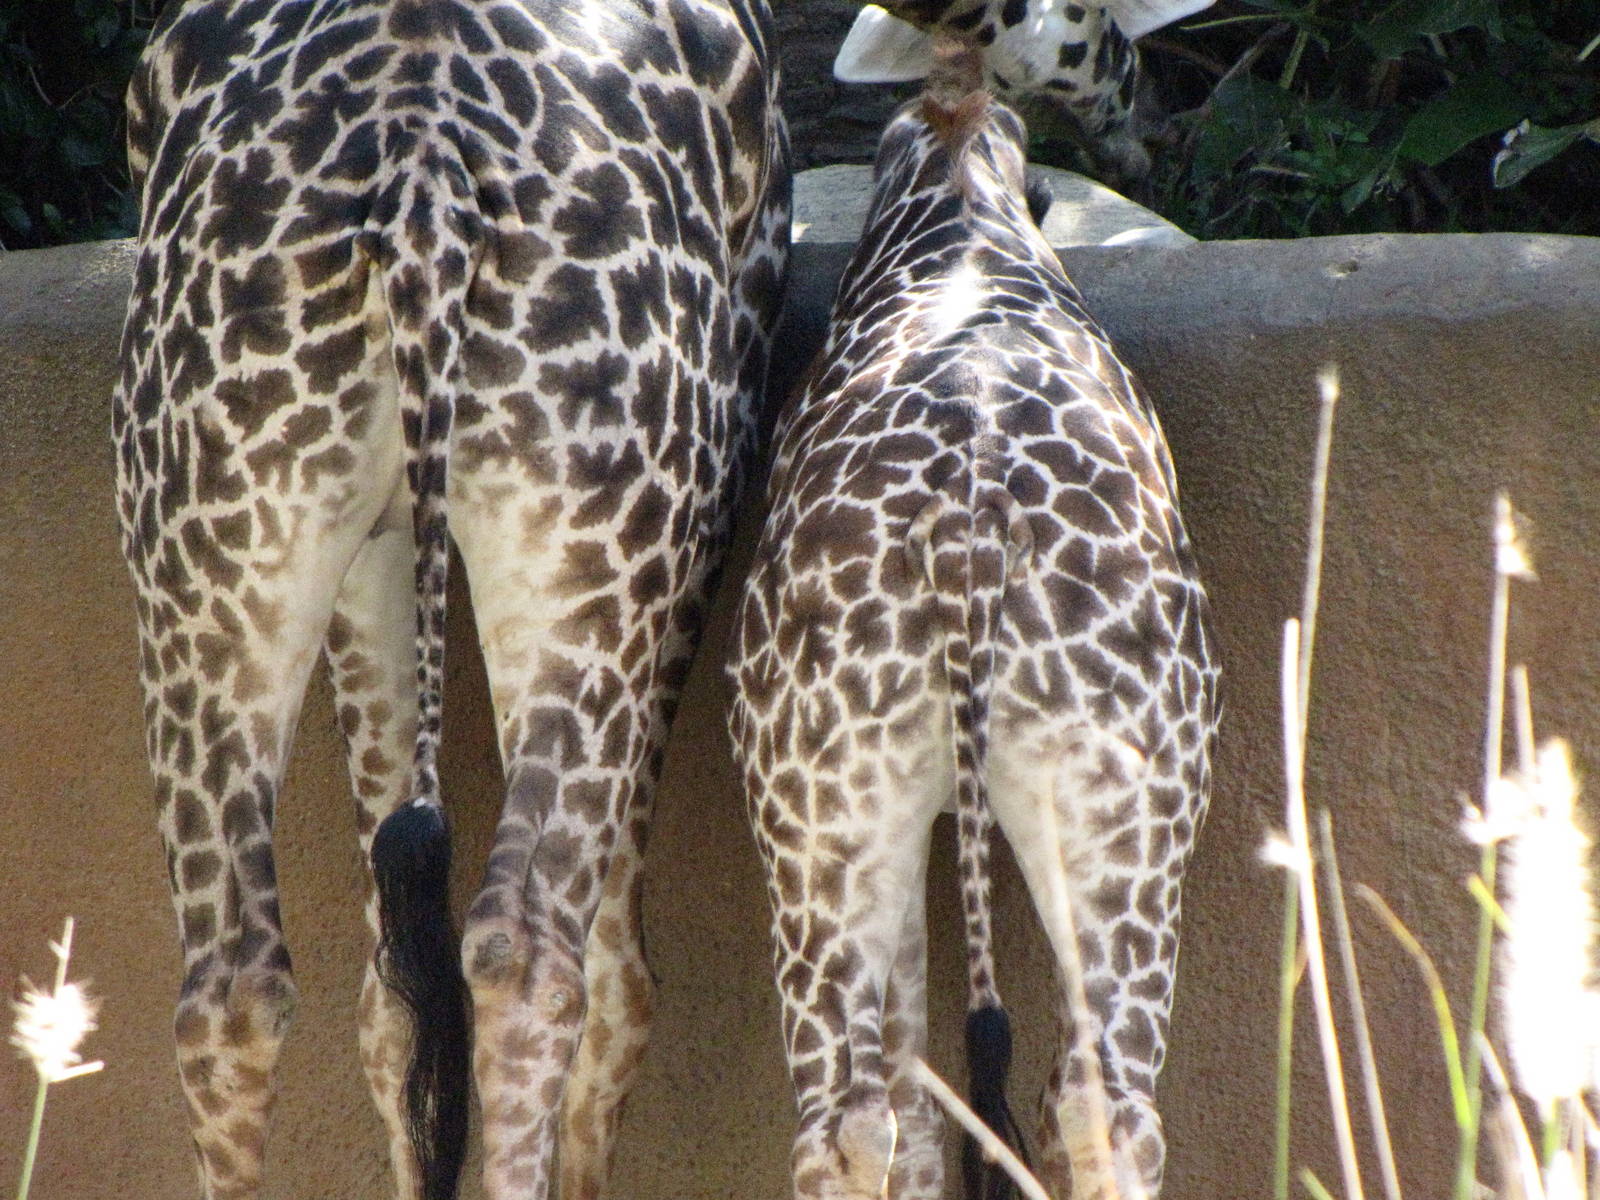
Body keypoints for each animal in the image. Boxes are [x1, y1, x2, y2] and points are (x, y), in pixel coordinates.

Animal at [112, 1, 788, 1197]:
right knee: (534, 956)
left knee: (232, 991)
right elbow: (618, 975)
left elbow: (391, 997)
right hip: (602, 555)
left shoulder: (369, 549)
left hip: (204, 554)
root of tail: (422, 171)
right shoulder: (708, 496)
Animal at [728, 50, 1219, 1200]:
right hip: (1105, 804)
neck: (956, 196)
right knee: (1087, 1101)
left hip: (834, 809)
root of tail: (971, 533)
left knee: (869, 1115)